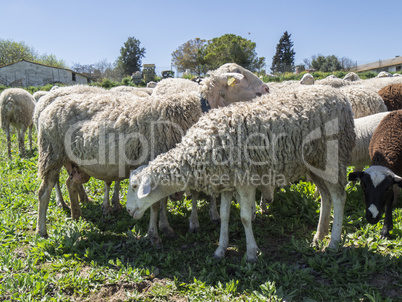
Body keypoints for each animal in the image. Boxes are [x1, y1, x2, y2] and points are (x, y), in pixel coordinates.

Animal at [36, 63, 270, 241]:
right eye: (240, 76)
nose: (268, 89)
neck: (189, 110)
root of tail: (50, 103)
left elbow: (162, 201)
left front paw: (165, 227)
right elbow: (156, 204)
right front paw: (154, 234)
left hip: (75, 162)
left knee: (70, 183)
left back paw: (76, 214)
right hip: (52, 152)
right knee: (44, 191)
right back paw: (42, 230)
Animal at [127, 85, 356, 262]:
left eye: (135, 186)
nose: (129, 211)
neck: (199, 151)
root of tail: (341, 97)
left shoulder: (245, 180)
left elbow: (245, 217)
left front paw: (252, 253)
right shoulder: (227, 181)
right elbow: (225, 216)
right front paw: (220, 249)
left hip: (332, 157)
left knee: (339, 197)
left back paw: (333, 242)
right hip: (314, 164)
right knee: (326, 197)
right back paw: (319, 235)